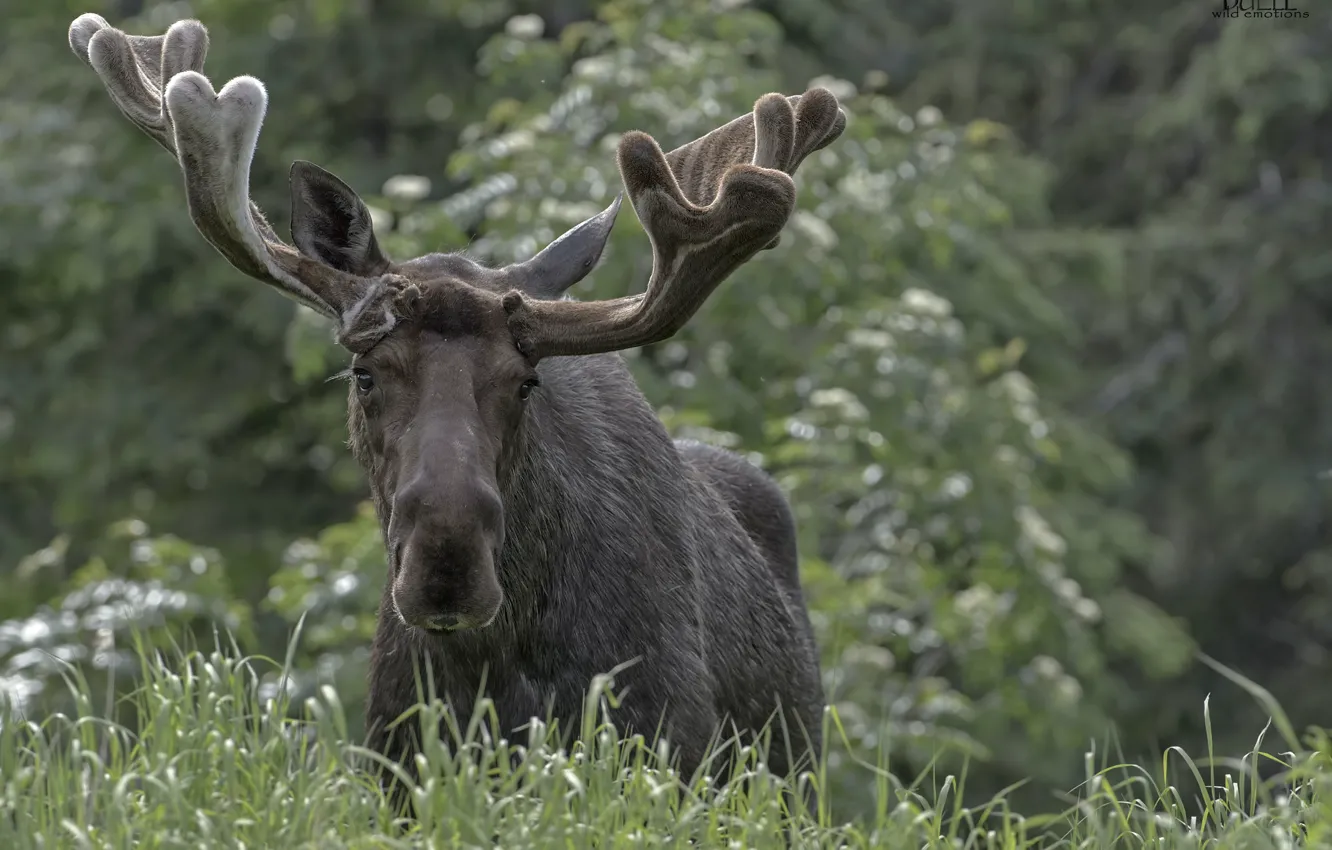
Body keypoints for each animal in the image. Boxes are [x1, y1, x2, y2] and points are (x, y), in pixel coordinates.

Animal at [67, 12, 846, 800]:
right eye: (364, 373)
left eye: (526, 381)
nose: (448, 563)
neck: (495, 671)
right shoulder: (395, 767)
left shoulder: (668, 749)